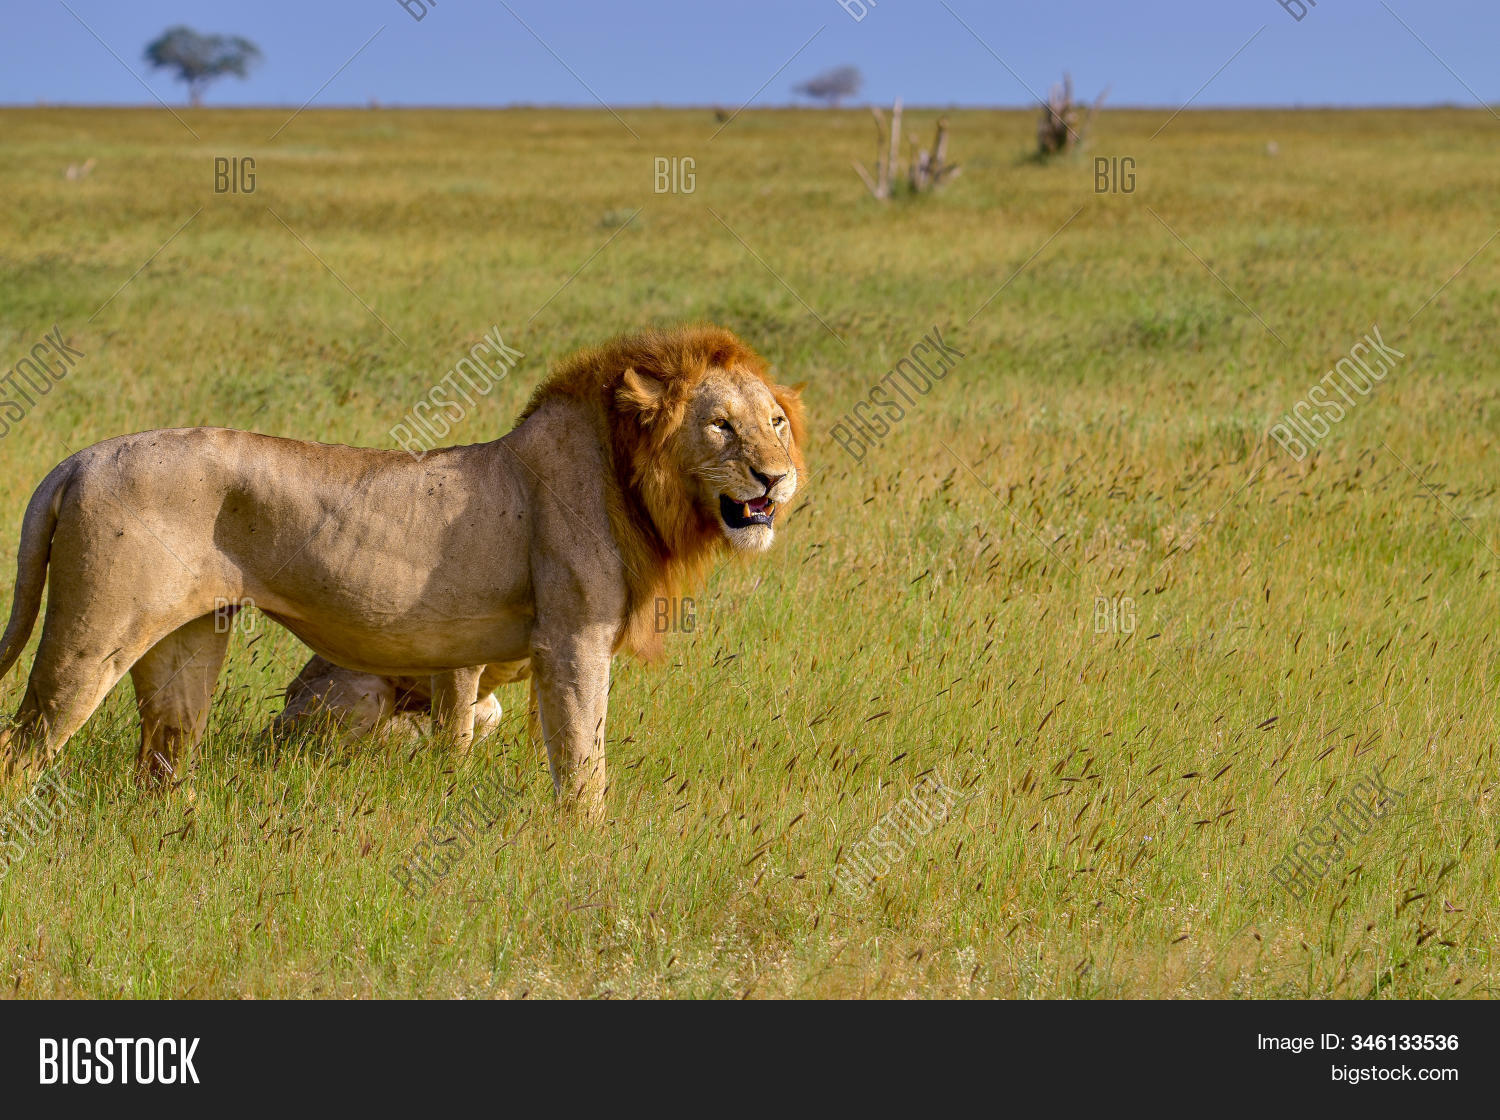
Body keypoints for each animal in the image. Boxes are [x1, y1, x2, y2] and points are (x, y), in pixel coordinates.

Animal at [0, 325, 805, 810]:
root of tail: (79, 459)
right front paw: (588, 849)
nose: (775, 479)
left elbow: (540, 744)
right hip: (90, 638)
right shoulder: (571, 640)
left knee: (162, 756)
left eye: (776, 422)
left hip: (188, 640)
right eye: (720, 427)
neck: (631, 479)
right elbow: (583, 763)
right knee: (22, 748)